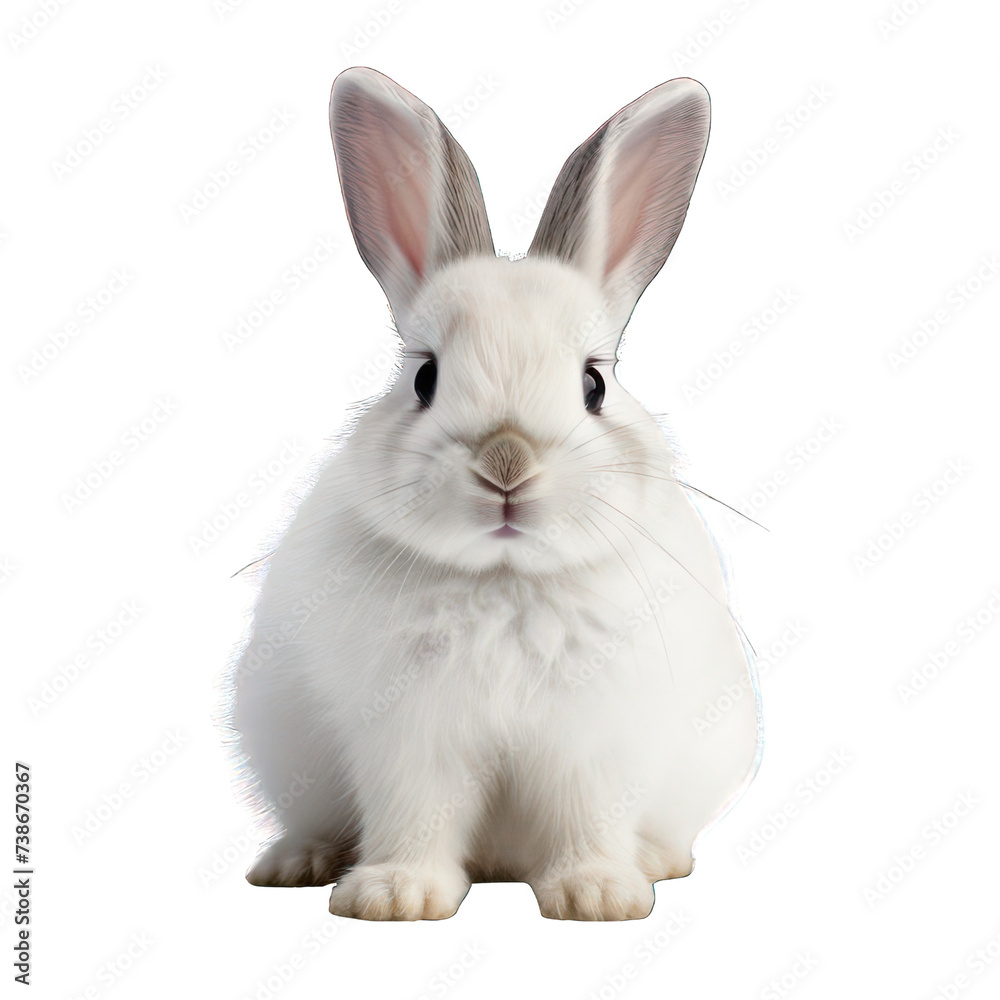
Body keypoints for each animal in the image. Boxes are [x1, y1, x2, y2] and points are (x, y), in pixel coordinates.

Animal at [228, 66, 761, 921]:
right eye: (424, 378)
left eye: (593, 384)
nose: (506, 464)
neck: (504, 581)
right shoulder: (409, 741)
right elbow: (415, 814)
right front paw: (396, 897)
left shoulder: (592, 746)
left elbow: (587, 816)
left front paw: (599, 896)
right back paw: (296, 861)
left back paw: (656, 859)